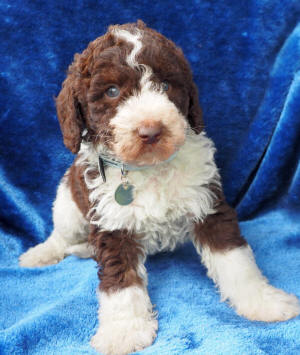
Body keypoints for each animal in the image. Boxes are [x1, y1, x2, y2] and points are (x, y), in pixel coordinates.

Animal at [19, 20, 298, 355]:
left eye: (165, 86)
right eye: (112, 91)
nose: (151, 131)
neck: (148, 167)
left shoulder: (208, 204)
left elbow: (236, 260)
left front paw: (263, 301)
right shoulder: (112, 223)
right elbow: (120, 283)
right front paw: (124, 331)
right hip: (68, 204)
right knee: (61, 235)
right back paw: (41, 254)